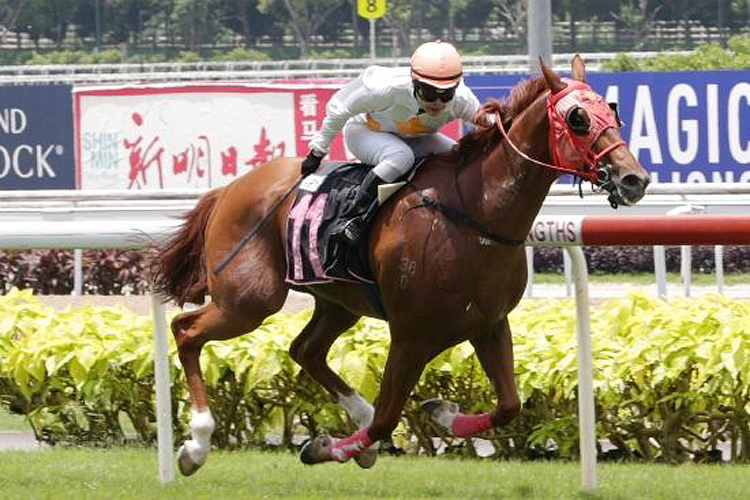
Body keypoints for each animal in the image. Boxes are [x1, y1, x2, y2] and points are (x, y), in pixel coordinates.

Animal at [153, 56, 652, 474]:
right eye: (578, 119)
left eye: (614, 113)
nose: (635, 179)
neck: (474, 214)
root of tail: (230, 188)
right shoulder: (412, 335)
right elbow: (388, 419)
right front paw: (323, 447)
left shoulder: (488, 322)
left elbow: (509, 404)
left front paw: (444, 413)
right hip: (249, 298)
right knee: (187, 331)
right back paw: (196, 445)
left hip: (337, 300)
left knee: (305, 350)